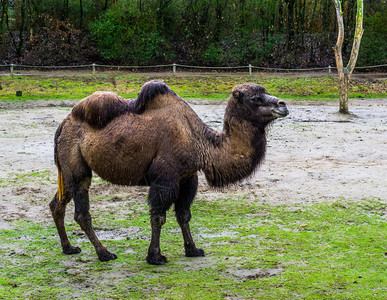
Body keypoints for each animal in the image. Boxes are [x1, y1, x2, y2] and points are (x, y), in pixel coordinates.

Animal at [50, 79, 290, 264]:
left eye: (265, 92)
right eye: (255, 98)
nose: (283, 104)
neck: (200, 142)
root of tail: (63, 125)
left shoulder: (187, 177)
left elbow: (184, 214)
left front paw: (193, 249)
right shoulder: (165, 177)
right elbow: (158, 217)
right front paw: (155, 256)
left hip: (68, 169)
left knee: (57, 203)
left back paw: (68, 247)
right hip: (76, 166)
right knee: (81, 211)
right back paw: (104, 253)